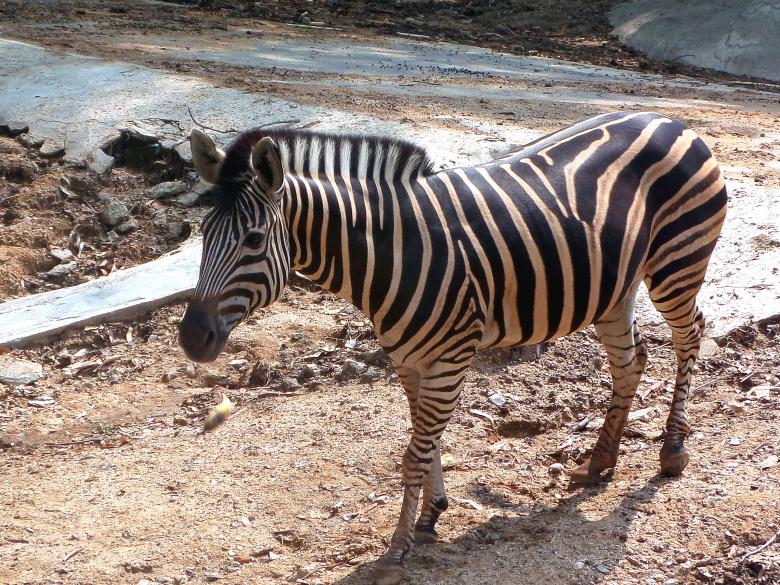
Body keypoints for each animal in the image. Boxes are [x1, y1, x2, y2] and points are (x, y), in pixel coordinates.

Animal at [178, 111, 727, 584]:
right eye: (203, 234)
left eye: (253, 239)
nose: (190, 339)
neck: (392, 252)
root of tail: (669, 119)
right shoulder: (409, 358)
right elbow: (427, 440)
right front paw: (430, 515)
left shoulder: (451, 355)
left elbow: (413, 453)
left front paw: (396, 550)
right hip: (615, 286)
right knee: (631, 361)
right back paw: (601, 460)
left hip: (677, 264)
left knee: (690, 334)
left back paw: (673, 448)